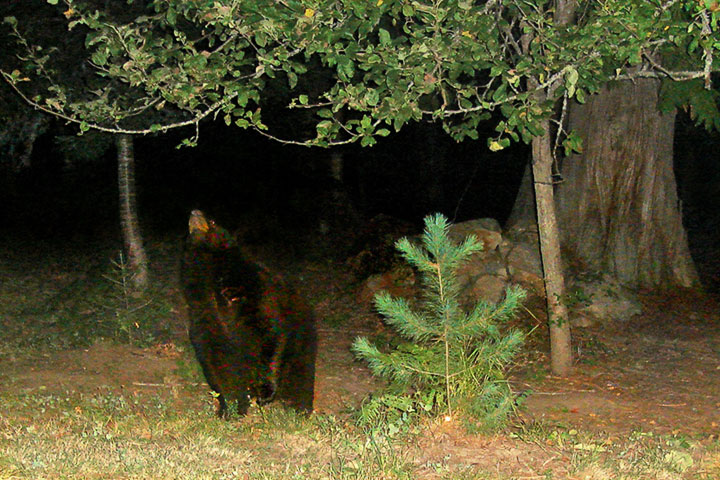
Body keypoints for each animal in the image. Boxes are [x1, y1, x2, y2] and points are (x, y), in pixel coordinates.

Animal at [179, 210, 316, 416]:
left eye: (212, 221)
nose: (195, 211)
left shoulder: (254, 293)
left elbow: (270, 330)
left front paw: (264, 391)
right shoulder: (205, 310)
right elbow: (217, 357)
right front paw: (231, 408)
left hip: (301, 337)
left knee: (300, 373)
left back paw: (298, 408)